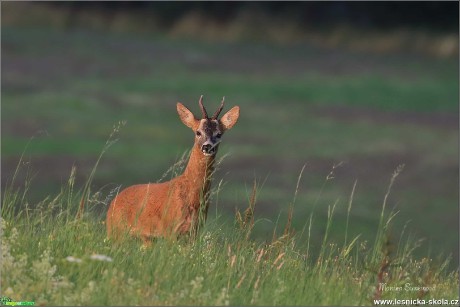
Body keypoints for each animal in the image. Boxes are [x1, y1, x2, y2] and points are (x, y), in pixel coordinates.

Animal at [106, 96, 239, 245]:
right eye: (198, 132)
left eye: (219, 134)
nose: (207, 147)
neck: (192, 198)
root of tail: (112, 204)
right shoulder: (171, 229)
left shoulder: (194, 231)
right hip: (116, 232)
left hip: (145, 239)